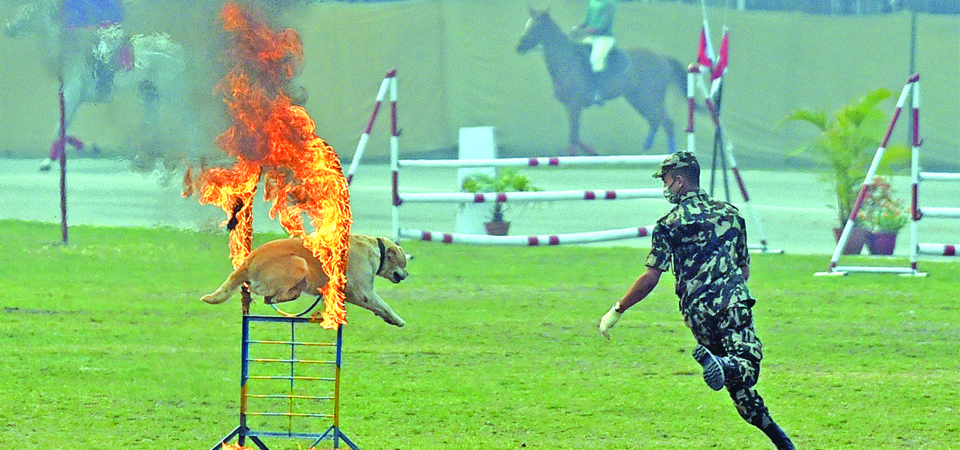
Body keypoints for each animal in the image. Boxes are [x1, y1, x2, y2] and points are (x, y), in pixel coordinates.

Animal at [4, 0, 188, 171]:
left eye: (31, 10)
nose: (8, 28)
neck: (68, 51)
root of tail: (177, 48)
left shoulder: (71, 94)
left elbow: (59, 128)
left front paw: (52, 161)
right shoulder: (72, 98)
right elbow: (63, 127)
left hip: (172, 92)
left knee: (188, 121)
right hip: (149, 93)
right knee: (153, 123)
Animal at [202, 232, 408, 326]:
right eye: (403, 263)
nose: (406, 275)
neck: (377, 249)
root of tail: (248, 261)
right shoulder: (363, 292)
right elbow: (384, 305)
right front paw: (397, 320)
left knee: (270, 298)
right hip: (299, 263)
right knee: (271, 297)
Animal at [516, 7, 688, 156]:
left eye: (536, 26)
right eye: (527, 24)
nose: (519, 46)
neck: (566, 59)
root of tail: (662, 57)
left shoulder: (574, 104)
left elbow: (573, 136)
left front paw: (587, 154)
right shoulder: (570, 106)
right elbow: (575, 136)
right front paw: (593, 152)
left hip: (650, 99)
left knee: (666, 123)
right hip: (637, 99)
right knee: (656, 121)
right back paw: (647, 148)